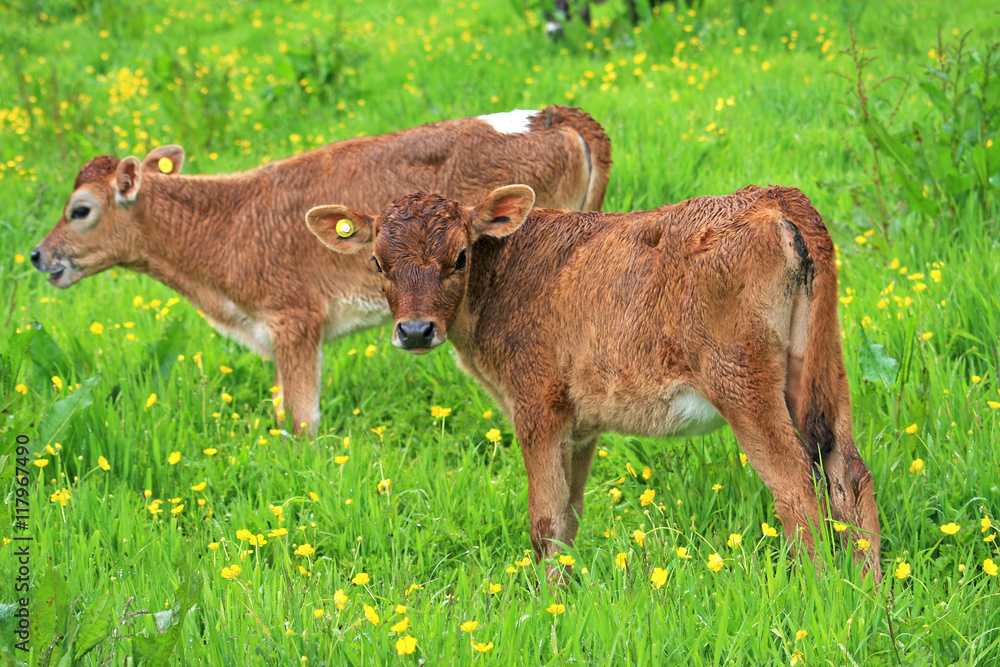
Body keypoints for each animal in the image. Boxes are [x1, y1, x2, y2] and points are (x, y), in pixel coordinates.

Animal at [31, 106, 612, 435]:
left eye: (80, 209)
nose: (37, 255)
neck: (228, 224)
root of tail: (551, 114)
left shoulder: (294, 319)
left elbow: (300, 421)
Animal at [306, 184, 883, 583]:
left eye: (460, 256)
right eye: (378, 262)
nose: (416, 330)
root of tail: (771, 197)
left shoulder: (536, 406)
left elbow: (545, 521)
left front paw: (545, 606)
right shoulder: (580, 424)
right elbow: (570, 515)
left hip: (742, 382)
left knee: (796, 486)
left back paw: (817, 592)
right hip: (823, 366)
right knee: (848, 472)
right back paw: (869, 592)